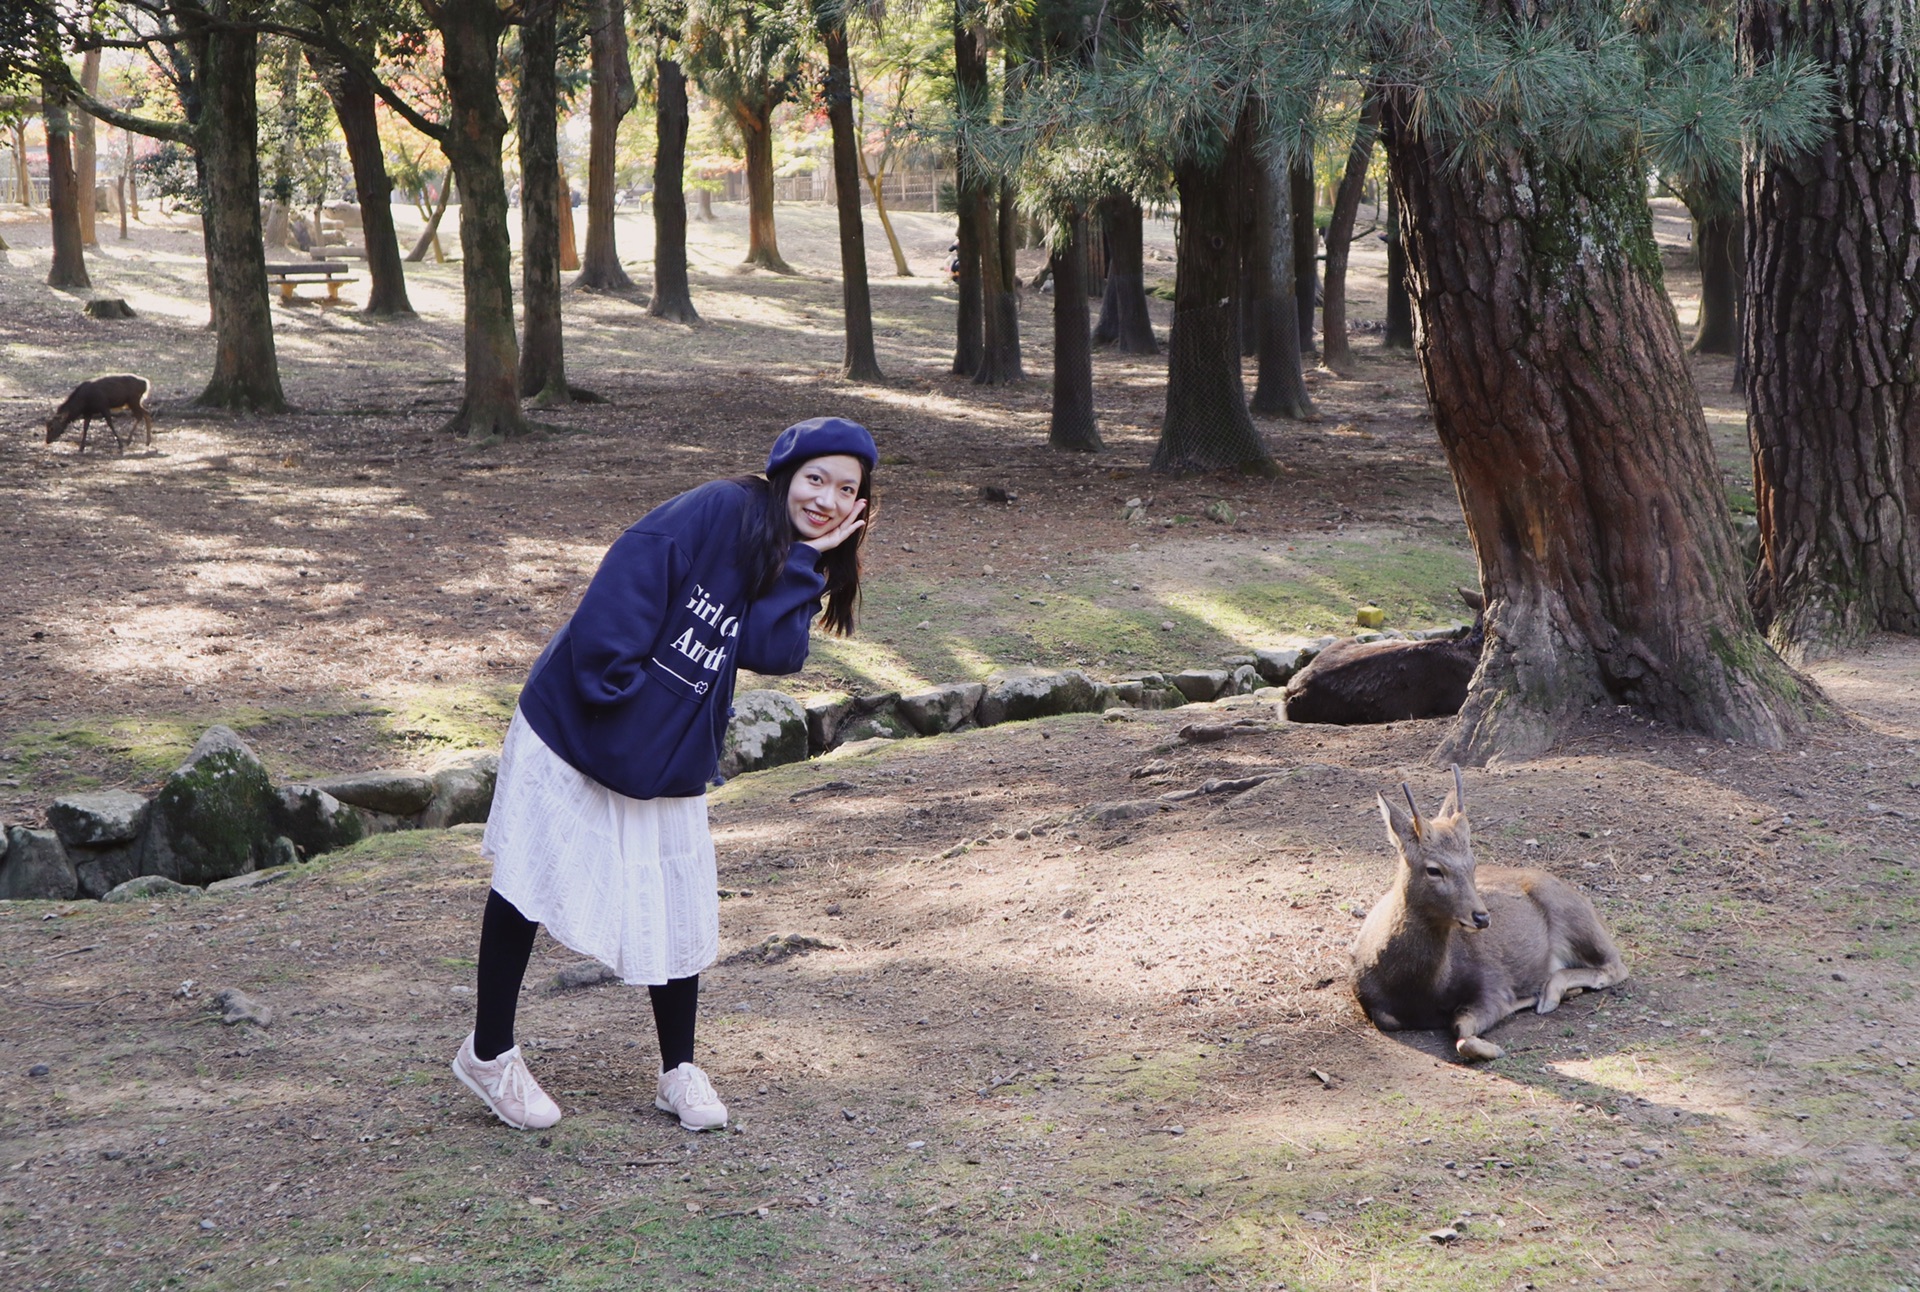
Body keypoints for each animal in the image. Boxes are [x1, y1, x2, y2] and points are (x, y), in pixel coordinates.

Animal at [1351, 767, 1635, 1059]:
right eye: (1433, 869)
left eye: (1473, 863)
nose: (1481, 917)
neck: (1420, 989)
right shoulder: (1372, 1004)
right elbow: (1389, 1019)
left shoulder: (1493, 981)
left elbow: (1463, 1032)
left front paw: (1495, 1046)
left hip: (1571, 912)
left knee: (1616, 965)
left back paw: (1550, 993)